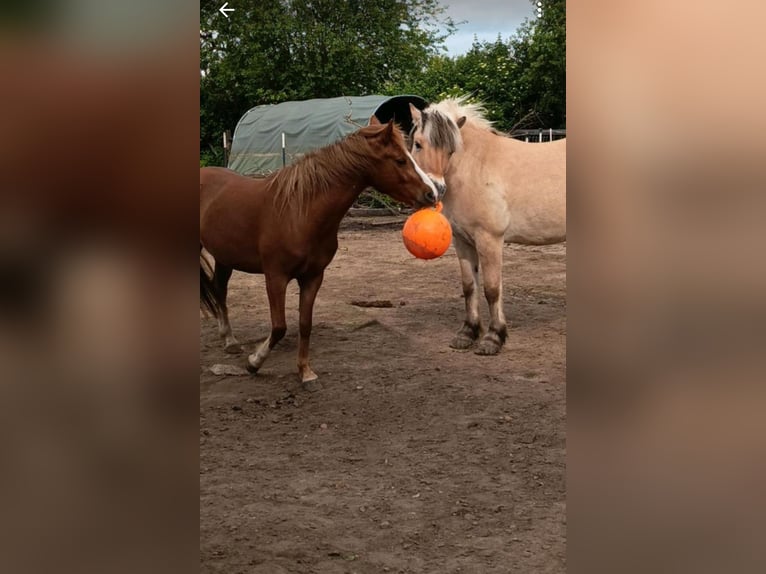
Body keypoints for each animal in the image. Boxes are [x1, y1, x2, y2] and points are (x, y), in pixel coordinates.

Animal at [200, 119, 439, 387]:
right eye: (400, 160)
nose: (432, 193)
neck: (300, 212)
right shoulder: (275, 277)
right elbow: (280, 326)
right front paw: (254, 362)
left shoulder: (313, 277)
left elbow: (305, 324)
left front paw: (305, 371)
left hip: (225, 257)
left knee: (219, 290)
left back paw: (229, 340)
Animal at [407, 98, 566, 355]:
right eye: (419, 144)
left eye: (451, 150)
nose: (435, 190)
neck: (475, 167)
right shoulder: (462, 241)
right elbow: (469, 286)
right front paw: (467, 333)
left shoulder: (489, 239)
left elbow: (492, 289)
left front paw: (493, 338)